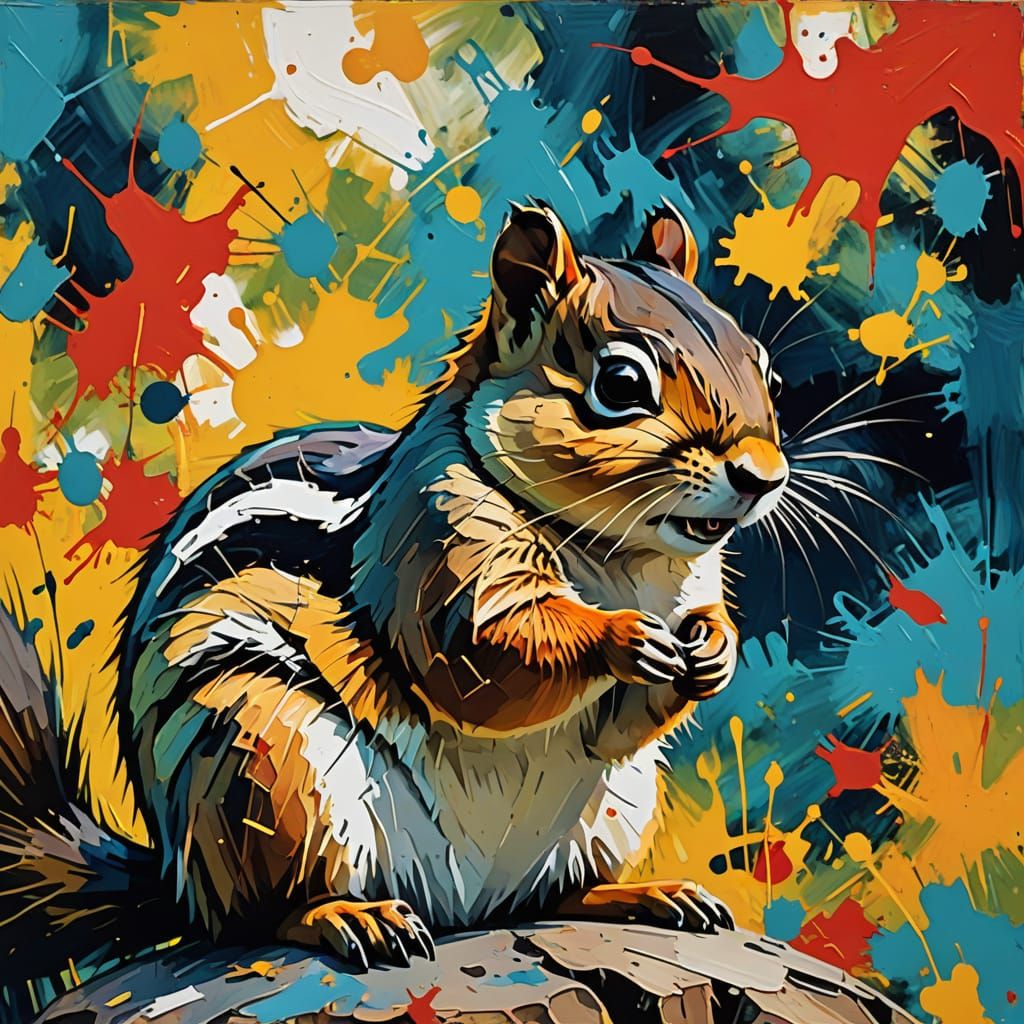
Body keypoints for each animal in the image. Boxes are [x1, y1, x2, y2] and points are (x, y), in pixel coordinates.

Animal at [0, 200, 788, 981]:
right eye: (621, 386)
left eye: (764, 369)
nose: (763, 475)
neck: (617, 553)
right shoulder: (428, 547)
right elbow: (482, 658)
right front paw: (619, 636)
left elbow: (615, 725)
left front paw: (715, 648)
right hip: (265, 767)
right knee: (263, 915)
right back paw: (348, 916)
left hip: (610, 810)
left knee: (552, 896)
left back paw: (644, 896)